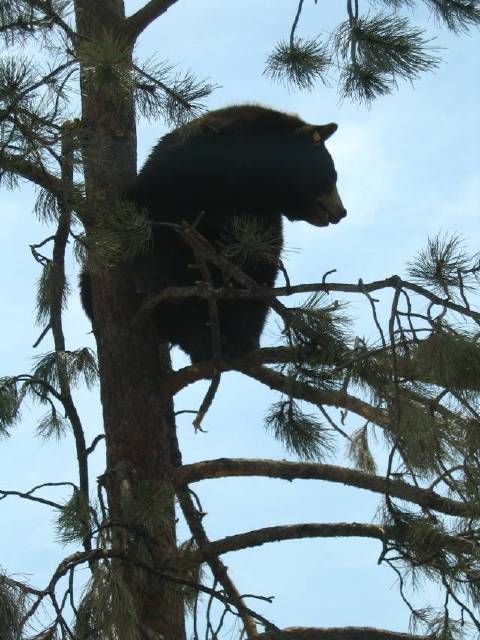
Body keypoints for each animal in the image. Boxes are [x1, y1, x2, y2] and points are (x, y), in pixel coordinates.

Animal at [80, 105, 346, 364]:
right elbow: (156, 247)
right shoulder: (172, 186)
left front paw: (243, 338)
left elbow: (256, 268)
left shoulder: (258, 217)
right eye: (332, 174)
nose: (341, 212)